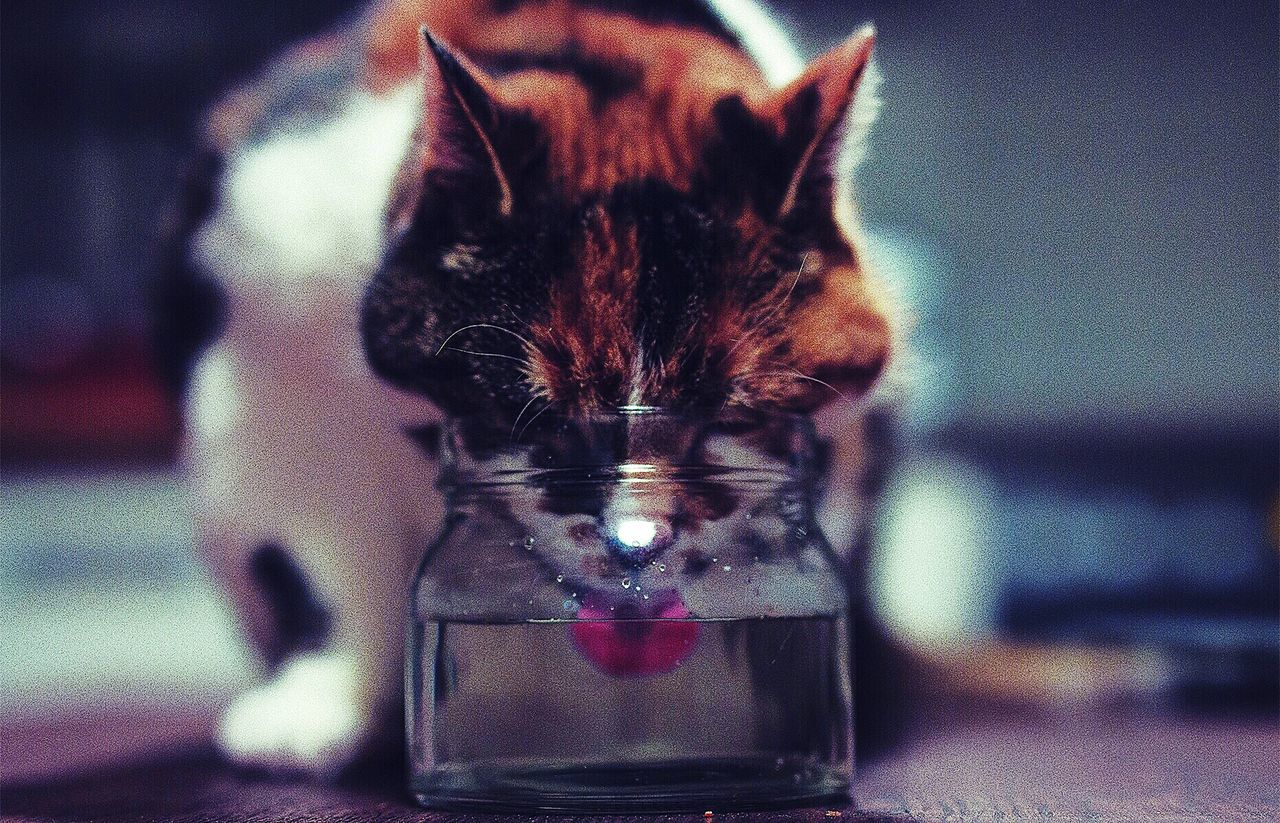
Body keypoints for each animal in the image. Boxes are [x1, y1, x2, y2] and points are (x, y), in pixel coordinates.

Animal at [154, 0, 896, 778]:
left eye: (726, 417)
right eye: (535, 416)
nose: (635, 544)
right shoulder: (269, 370)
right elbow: (319, 555)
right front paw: (314, 706)